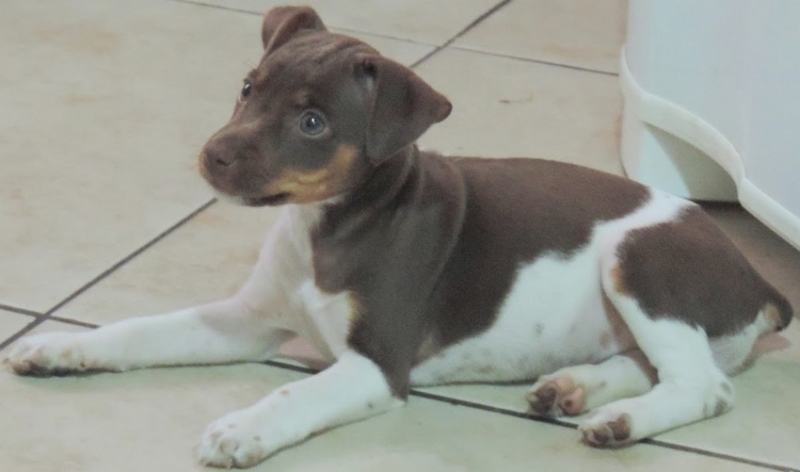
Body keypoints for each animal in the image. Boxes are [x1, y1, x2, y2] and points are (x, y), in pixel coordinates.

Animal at [4, 4, 792, 468]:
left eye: (313, 122)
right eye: (248, 87)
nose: (213, 157)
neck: (329, 227)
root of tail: (760, 282)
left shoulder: (376, 363)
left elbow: (291, 394)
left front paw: (242, 429)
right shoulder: (248, 320)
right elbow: (139, 330)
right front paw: (59, 347)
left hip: (638, 261)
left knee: (705, 387)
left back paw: (620, 421)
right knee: (659, 365)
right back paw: (573, 388)